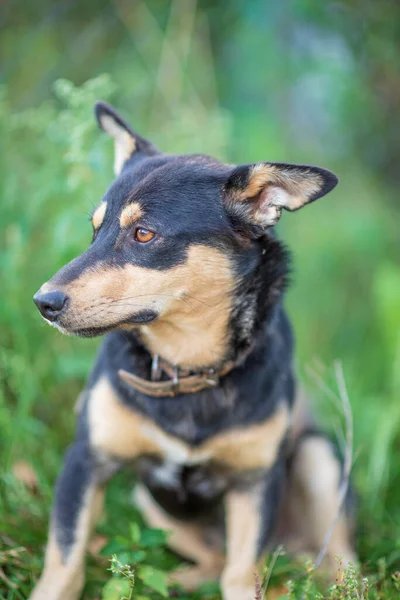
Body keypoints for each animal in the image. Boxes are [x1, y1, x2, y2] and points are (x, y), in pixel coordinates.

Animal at [31, 103, 356, 600]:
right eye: (94, 230)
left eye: (144, 234)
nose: (43, 302)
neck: (187, 366)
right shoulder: (85, 461)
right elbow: (63, 562)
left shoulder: (254, 485)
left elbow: (240, 575)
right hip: (150, 503)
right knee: (211, 559)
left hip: (318, 459)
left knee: (341, 559)